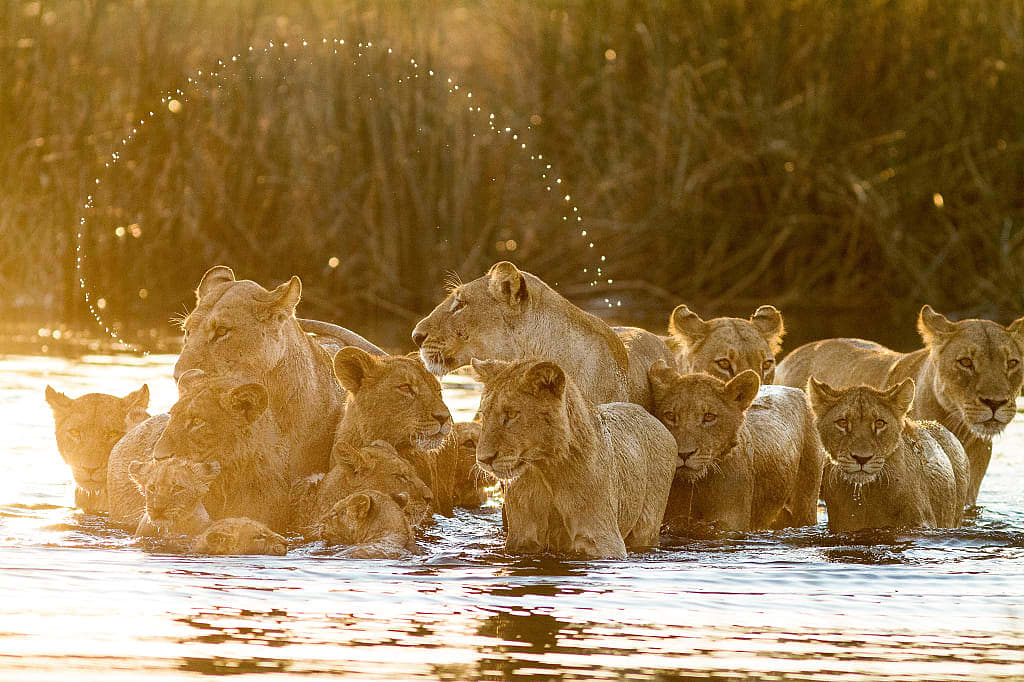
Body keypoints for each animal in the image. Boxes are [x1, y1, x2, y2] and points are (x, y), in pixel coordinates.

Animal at [471, 358, 677, 559]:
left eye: (511, 414)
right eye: (484, 415)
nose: (483, 459)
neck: (546, 472)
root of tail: (649, 414)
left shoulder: (604, 542)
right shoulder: (522, 540)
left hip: (647, 528)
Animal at [647, 361, 824, 534]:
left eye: (709, 417)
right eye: (670, 415)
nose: (684, 454)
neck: (696, 487)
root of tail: (795, 390)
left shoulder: (729, 525)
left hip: (806, 503)